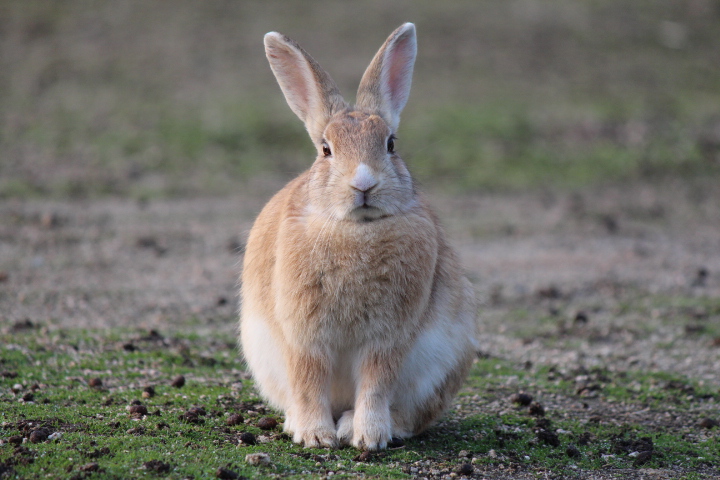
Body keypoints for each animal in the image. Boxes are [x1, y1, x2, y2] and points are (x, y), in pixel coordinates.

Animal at [239, 22, 480, 450]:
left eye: (391, 144)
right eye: (326, 150)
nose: (364, 183)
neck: (356, 230)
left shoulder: (389, 336)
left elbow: (376, 381)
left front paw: (369, 437)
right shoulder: (304, 333)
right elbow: (308, 378)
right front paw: (315, 436)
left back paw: (365, 426)